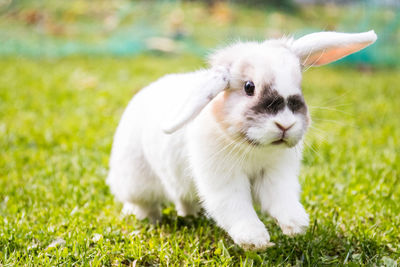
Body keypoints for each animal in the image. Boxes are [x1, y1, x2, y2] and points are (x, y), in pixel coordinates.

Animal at [106, 30, 376, 251]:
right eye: (249, 87)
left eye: (299, 86)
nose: (285, 125)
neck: (253, 147)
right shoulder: (224, 181)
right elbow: (235, 207)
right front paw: (255, 240)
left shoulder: (276, 175)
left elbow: (281, 198)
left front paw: (296, 224)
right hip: (137, 180)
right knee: (143, 202)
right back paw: (144, 218)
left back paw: (192, 215)